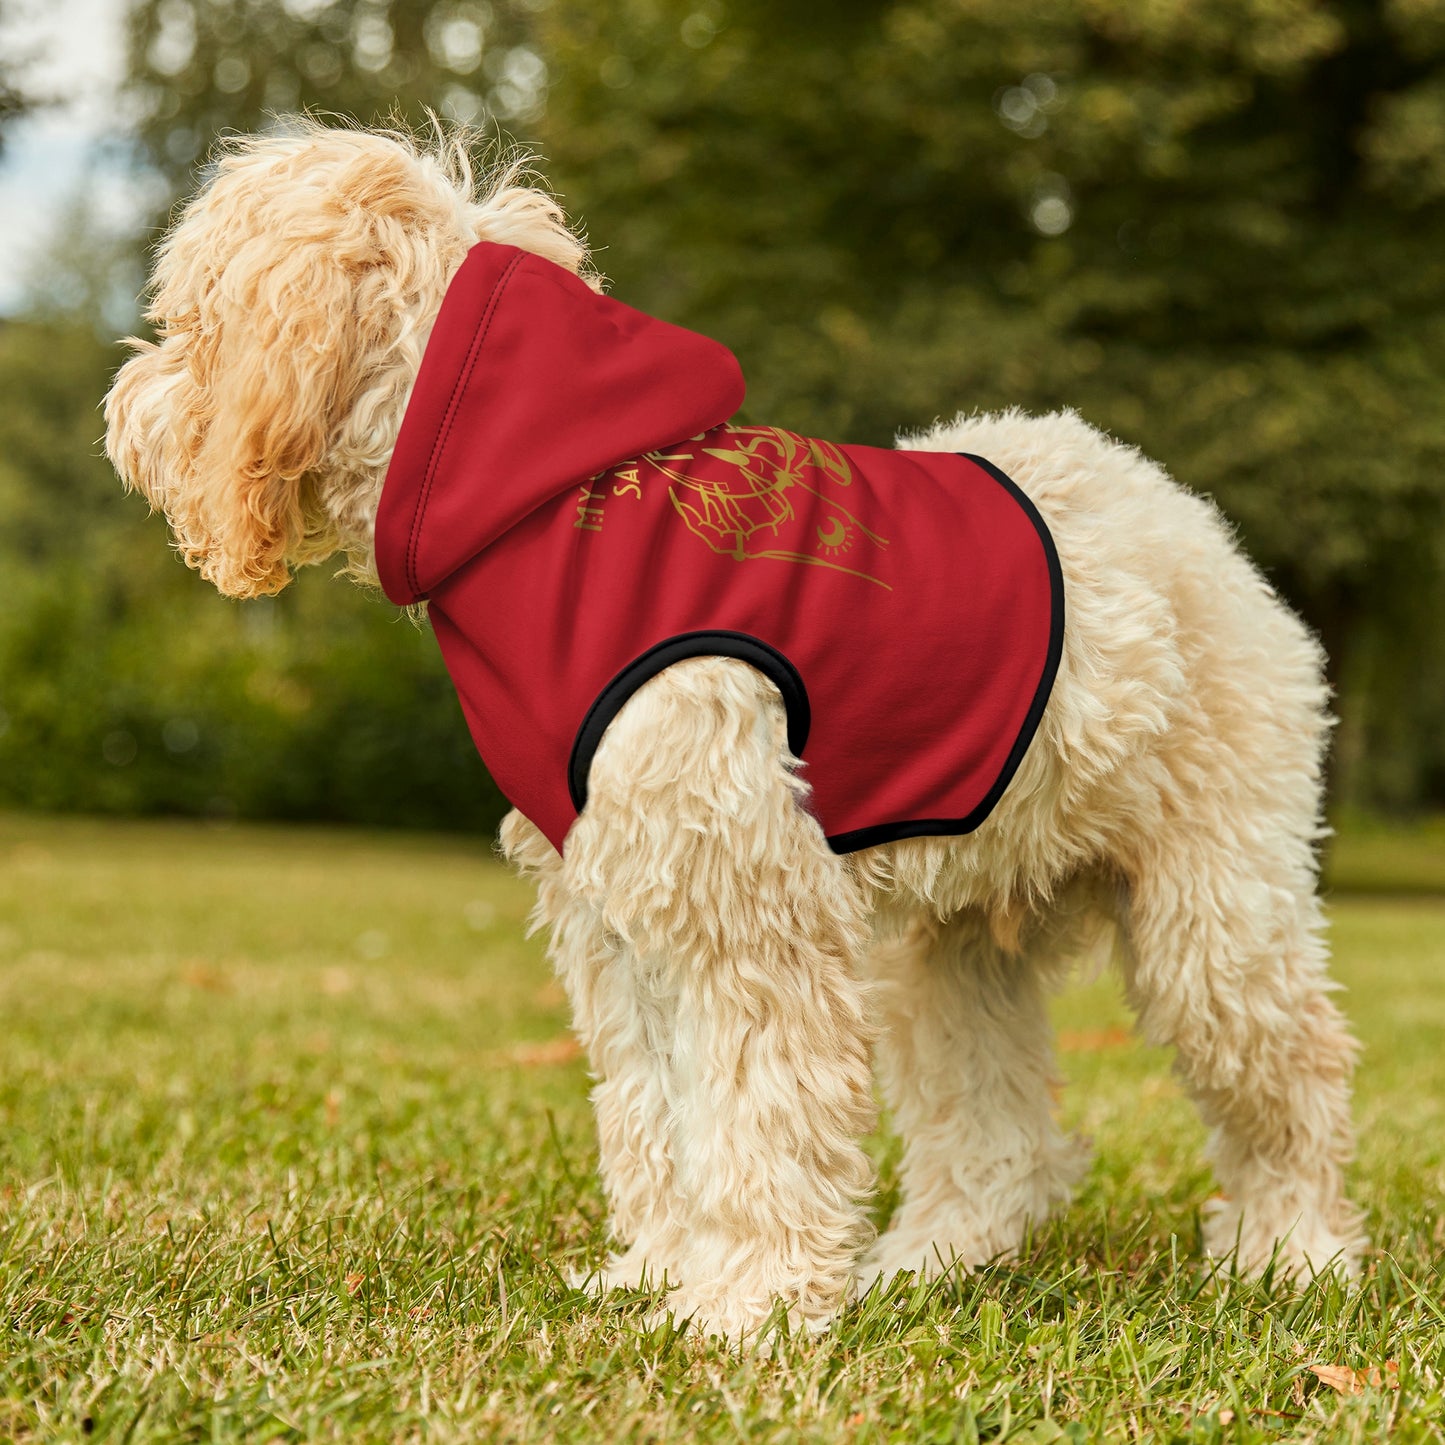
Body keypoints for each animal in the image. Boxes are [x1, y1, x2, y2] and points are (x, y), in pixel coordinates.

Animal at [106, 124, 1358, 1340]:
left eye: (189, 321)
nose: (122, 408)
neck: (543, 499)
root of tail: (1183, 515)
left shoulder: (744, 907)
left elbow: (757, 1116)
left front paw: (745, 1305)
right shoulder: (617, 914)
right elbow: (656, 1111)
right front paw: (661, 1272)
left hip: (1213, 916)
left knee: (1293, 1076)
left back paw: (1290, 1253)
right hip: (950, 948)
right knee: (997, 1134)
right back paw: (931, 1260)